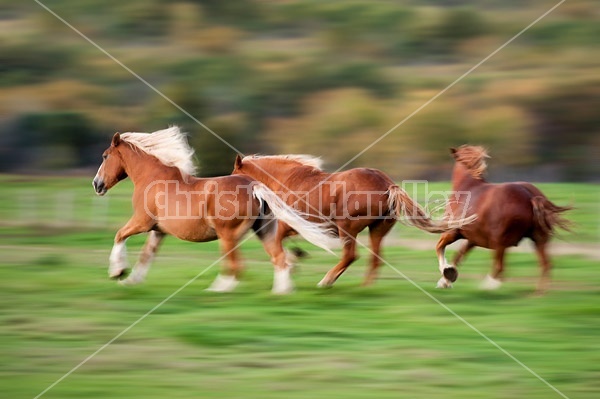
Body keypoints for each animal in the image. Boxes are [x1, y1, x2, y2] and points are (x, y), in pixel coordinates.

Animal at [92, 126, 338, 296]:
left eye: (104, 156)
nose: (97, 184)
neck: (152, 177)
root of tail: (254, 186)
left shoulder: (142, 222)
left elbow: (119, 235)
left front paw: (117, 272)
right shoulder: (158, 231)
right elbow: (146, 255)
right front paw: (130, 280)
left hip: (227, 235)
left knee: (238, 265)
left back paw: (217, 290)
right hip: (263, 231)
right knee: (279, 258)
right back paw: (281, 293)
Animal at [232, 153, 476, 288]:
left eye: (235, 173)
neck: (286, 180)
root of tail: (388, 184)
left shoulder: (288, 224)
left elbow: (278, 244)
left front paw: (290, 266)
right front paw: (294, 261)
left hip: (347, 228)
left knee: (351, 256)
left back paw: (326, 282)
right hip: (377, 230)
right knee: (375, 259)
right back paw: (365, 288)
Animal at [436, 145, 572, 294]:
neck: (468, 188)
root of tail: (530, 196)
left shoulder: (451, 232)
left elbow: (440, 247)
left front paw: (445, 276)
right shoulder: (472, 240)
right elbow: (458, 256)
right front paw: (447, 279)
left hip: (499, 243)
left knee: (500, 268)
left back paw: (487, 287)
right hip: (538, 240)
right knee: (545, 264)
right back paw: (539, 293)